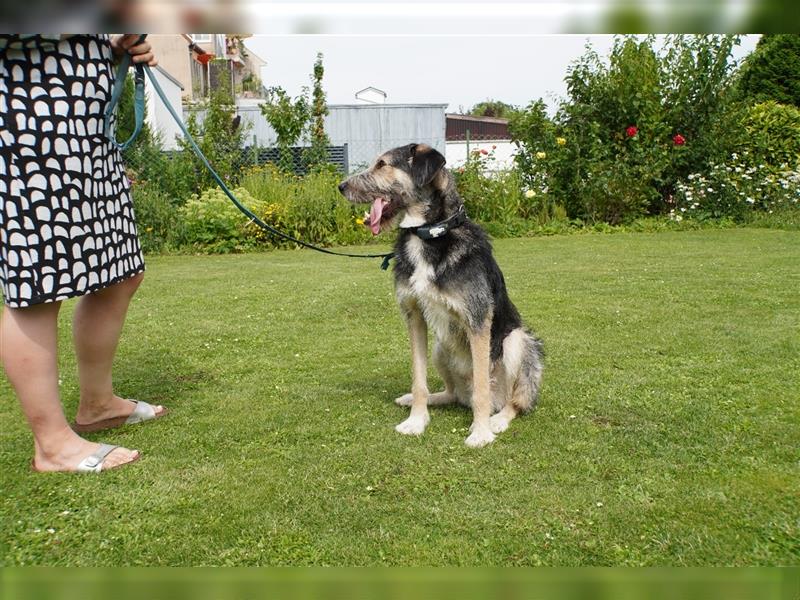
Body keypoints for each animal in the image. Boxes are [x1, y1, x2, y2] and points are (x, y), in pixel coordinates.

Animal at [338, 143, 544, 448]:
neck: (428, 234)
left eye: (383, 164)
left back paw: (497, 419)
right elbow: (419, 380)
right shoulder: (414, 317)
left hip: (516, 341)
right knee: (451, 393)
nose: (340, 186)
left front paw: (480, 432)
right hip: (440, 346)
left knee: (513, 402)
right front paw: (416, 420)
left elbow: (482, 388)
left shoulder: (478, 320)